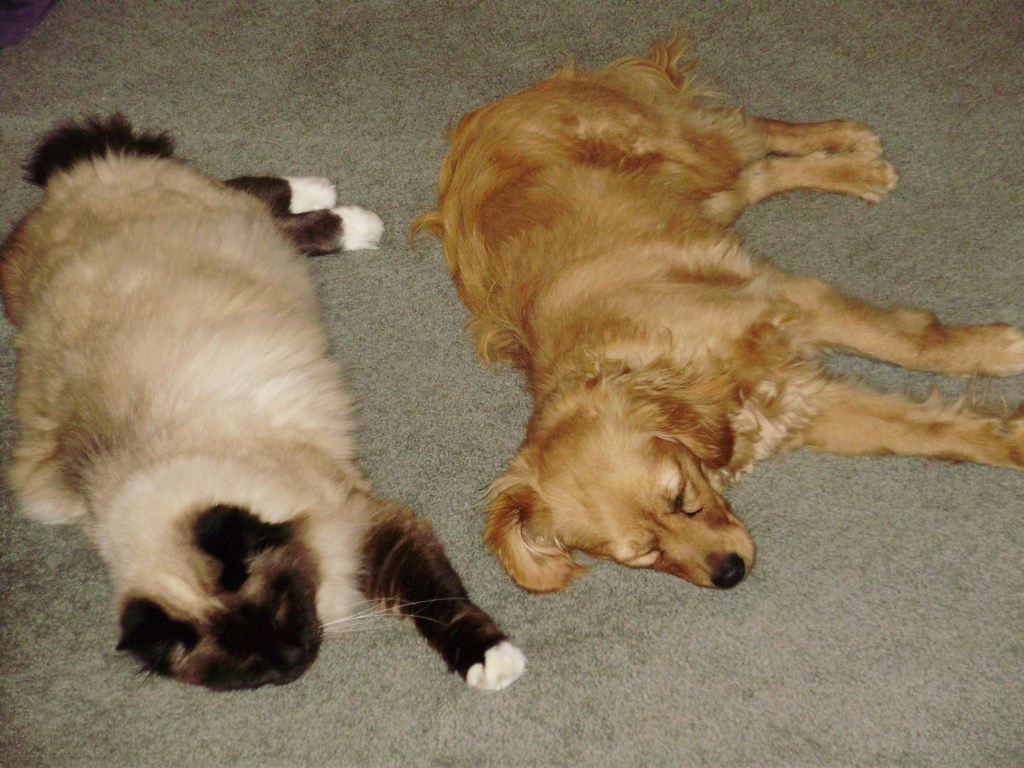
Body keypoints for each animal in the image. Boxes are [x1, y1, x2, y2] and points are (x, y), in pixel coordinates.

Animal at [0, 114, 525, 691]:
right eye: (247, 666)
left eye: (278, 610)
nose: (294, 660)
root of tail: (63, 185)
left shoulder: (366, 524)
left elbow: (438, 601)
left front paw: (492, 659)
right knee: (273, 216)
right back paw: (340, 209)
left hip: (224, 213)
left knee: (249, 191)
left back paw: (344, 207)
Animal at [412, 35, 1024, 594]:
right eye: (643, 554)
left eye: (681, 499)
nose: (729, 573)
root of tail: (490, 110)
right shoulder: (807, 404)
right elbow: (933, 433)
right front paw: (1009, 436)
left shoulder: (793, 302)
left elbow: (917, 345)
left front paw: (999, 350)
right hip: (707, 197)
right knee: (760, 173)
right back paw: (851, 166)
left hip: (693, 150)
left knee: (752, 129)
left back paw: (850, 150)